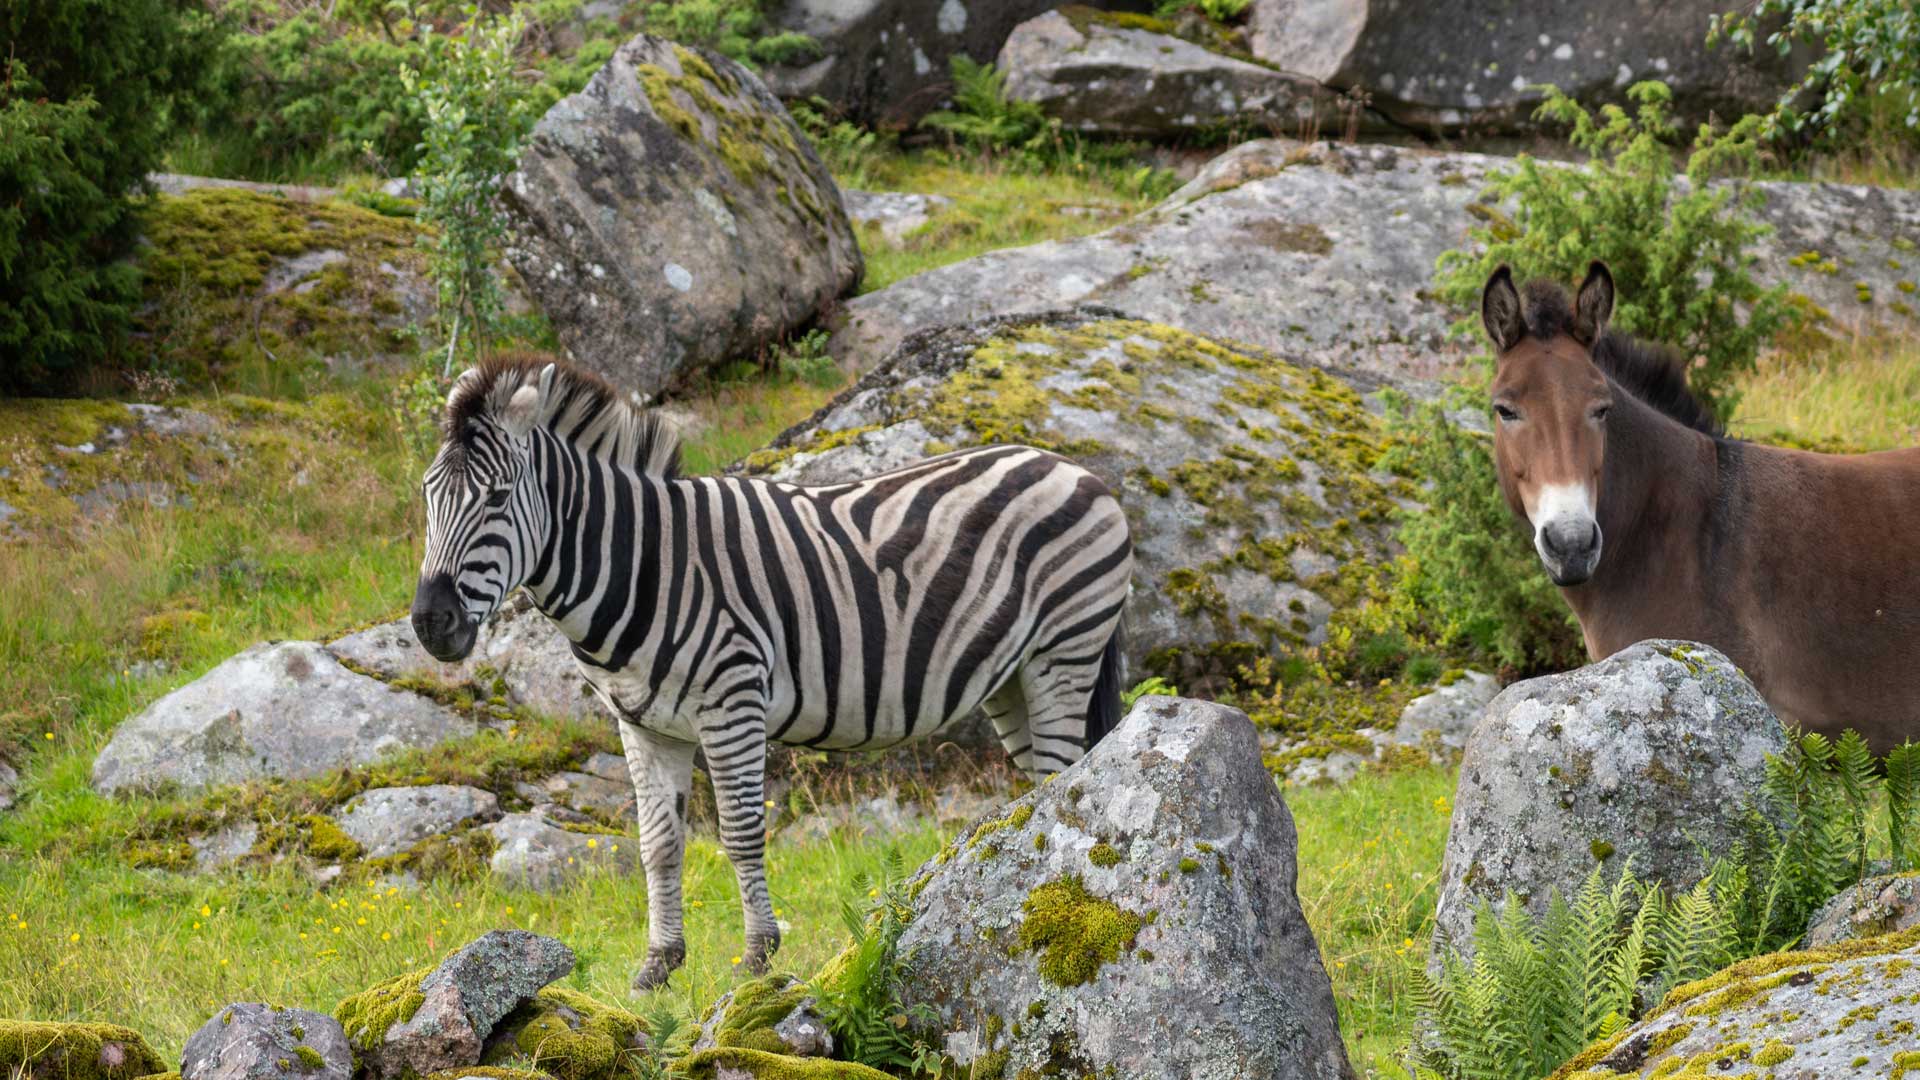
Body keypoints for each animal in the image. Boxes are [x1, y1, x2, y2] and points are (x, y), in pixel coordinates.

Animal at [405, 353, 1121, 983]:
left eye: (498, 498)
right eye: (427, 497)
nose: (430, 622)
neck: (642, 562)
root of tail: (1069, 464)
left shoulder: (733, 701)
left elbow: (742, 832)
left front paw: (756, 958)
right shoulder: (643, 725)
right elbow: (657, 843)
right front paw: (657, 966)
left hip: (1064, 652)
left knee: (1065, 777)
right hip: (1013, 678)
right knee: (1042, 785)